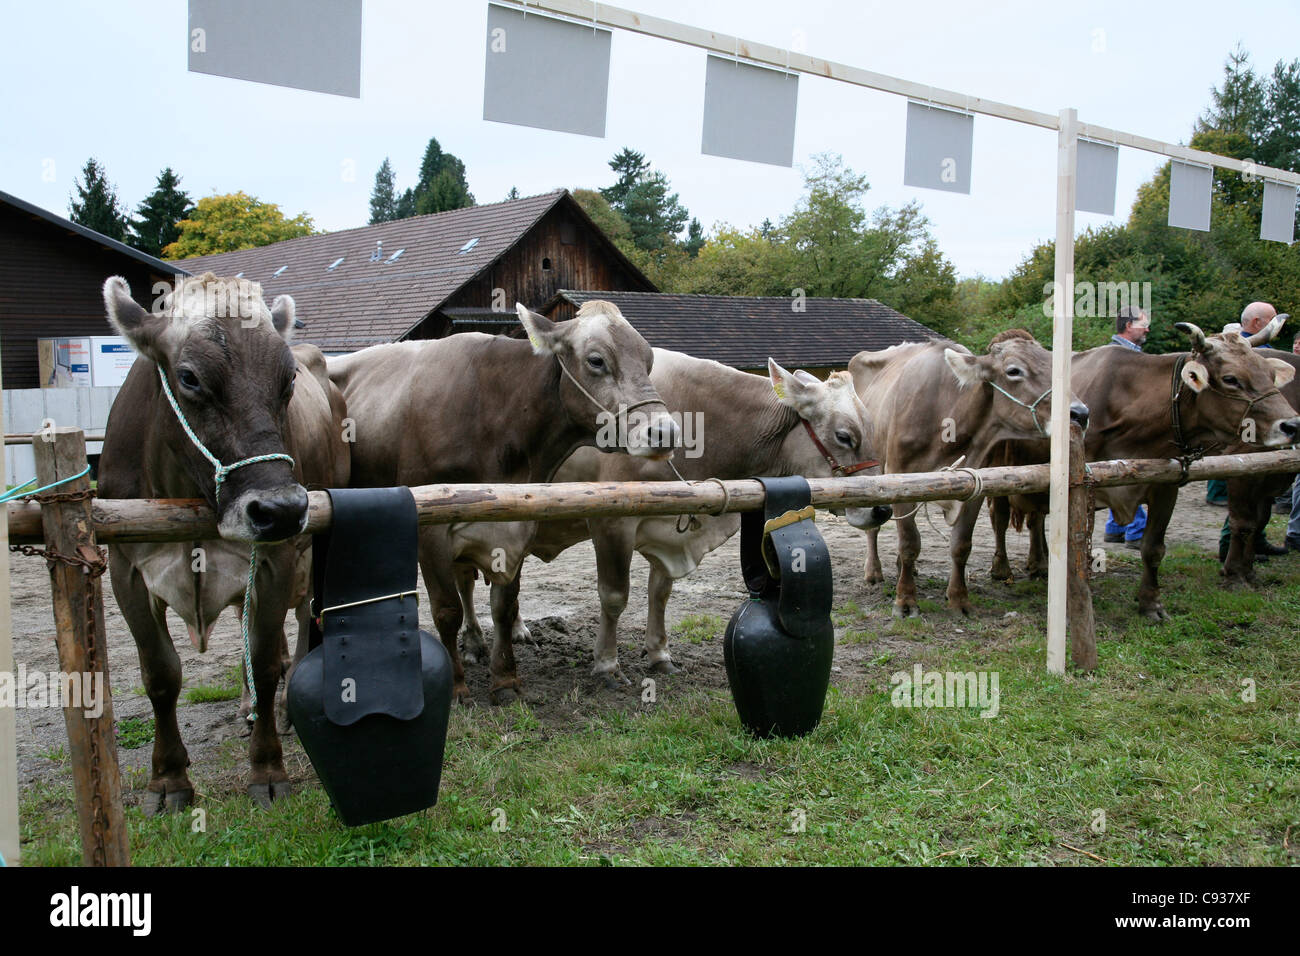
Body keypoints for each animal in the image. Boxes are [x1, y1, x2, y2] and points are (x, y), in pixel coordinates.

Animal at [98, 274, 348, 816]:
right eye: (189, 377)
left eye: (287, 381)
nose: (281, 508)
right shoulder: (124, 566)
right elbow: (160, 674)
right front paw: (168, 778)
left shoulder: (276, 558)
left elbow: (265, 661)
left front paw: (267, 769)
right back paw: (246, 704)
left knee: (301, 623)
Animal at [327, 300, 681, 702]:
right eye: (596, 360)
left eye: (649, 360)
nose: (665, 431)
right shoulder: (430, 529)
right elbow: (445, 609)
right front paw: (455, 685)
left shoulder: (518, 523)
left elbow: (504, 605)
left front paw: (505, 678)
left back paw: (476, 644)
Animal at [852, 329, 1086, 616]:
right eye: (1014, 371)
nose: (1080, 413)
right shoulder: (898, 478)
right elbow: (909, 543)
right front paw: (905, 600)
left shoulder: (976, 486)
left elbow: (961, 544)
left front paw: (958, 599)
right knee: (873, 529)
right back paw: (874, 572)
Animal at [982, 321, 1300, 621]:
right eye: (1231, 379)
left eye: (1269, 375)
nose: (1292, 425)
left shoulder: (1165, 486)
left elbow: (1154, 549)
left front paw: (1151, 603)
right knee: (1000, 518)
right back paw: (1002, 567)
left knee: (1036, 518)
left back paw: (1040, 564)